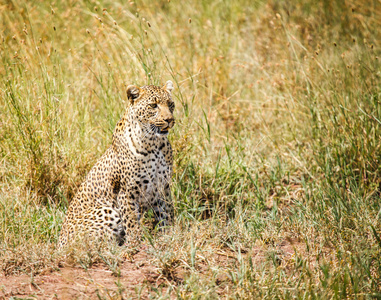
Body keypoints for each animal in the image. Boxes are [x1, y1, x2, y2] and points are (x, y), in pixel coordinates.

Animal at [57, 79, 176, 248]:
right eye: (153, 105)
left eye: (170, 104)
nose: (169, 120)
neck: (155, 144)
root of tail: (59, 247)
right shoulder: (126, 191)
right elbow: (131, 222)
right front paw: (135, 243)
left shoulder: (162, 186)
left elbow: (166, 212)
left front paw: (169, 234)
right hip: (107, 210)